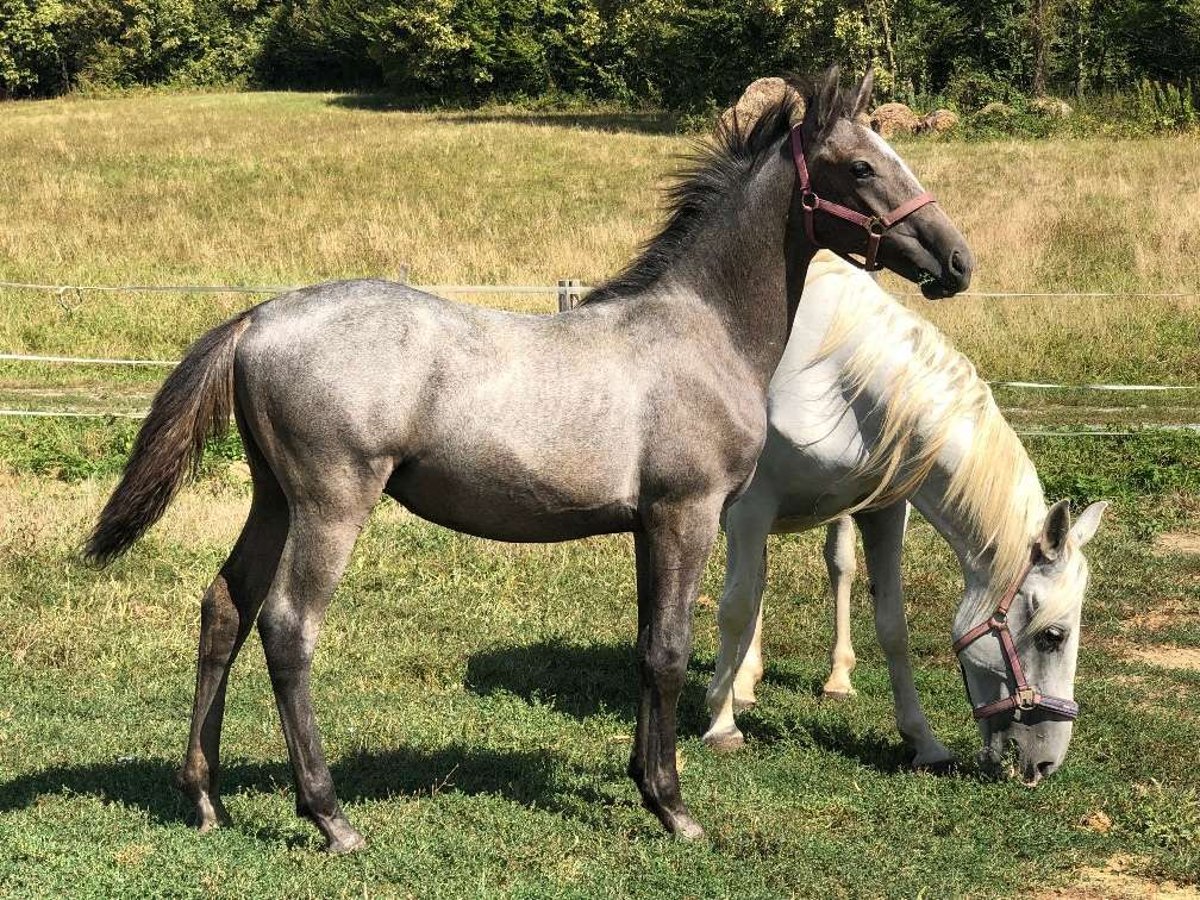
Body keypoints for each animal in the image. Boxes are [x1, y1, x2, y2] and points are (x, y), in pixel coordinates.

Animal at [88, 70, 974, 854]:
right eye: (861, 167)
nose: (957, 261)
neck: (701, 328)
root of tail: (259, 319)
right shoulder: (685, 515)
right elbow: (670, 650)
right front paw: (673, 808)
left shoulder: (648, 527)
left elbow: (647, 646)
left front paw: (645, 783)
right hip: (330, 503)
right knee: (286, 627)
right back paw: (331, 818)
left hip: (272, 499)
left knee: (224, 610)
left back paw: (204, 798)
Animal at [700, 254, 1104, 782]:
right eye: (1053, 637)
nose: (1044, 764)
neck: (832, 380)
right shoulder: (751, 506)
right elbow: (735, 607)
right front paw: (720, 724)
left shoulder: (885, 510)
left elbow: (893, 625)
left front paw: (923, 741)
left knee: (828, 569)